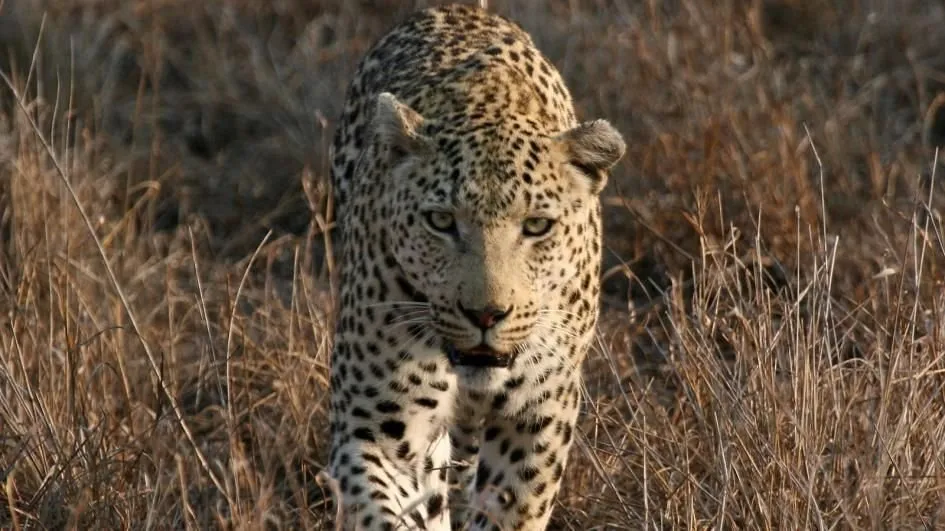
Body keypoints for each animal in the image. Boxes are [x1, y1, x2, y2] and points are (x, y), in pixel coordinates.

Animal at [324, 5, 628, 531]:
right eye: (441, 221)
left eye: (537, 225)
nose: (485, 315)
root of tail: (452, 8)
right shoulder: (374, 429)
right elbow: (387, 512)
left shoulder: (538, 418)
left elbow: (513, 509)